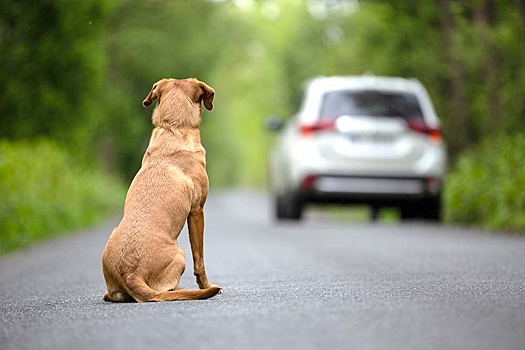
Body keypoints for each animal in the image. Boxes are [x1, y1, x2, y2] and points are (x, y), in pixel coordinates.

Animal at [101, 78, 220, 302]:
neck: (173, 127)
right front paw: (205, 285)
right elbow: (199, 259)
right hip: (180, 255)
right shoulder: (197, 211)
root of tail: (131, 274)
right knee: (167, 289)